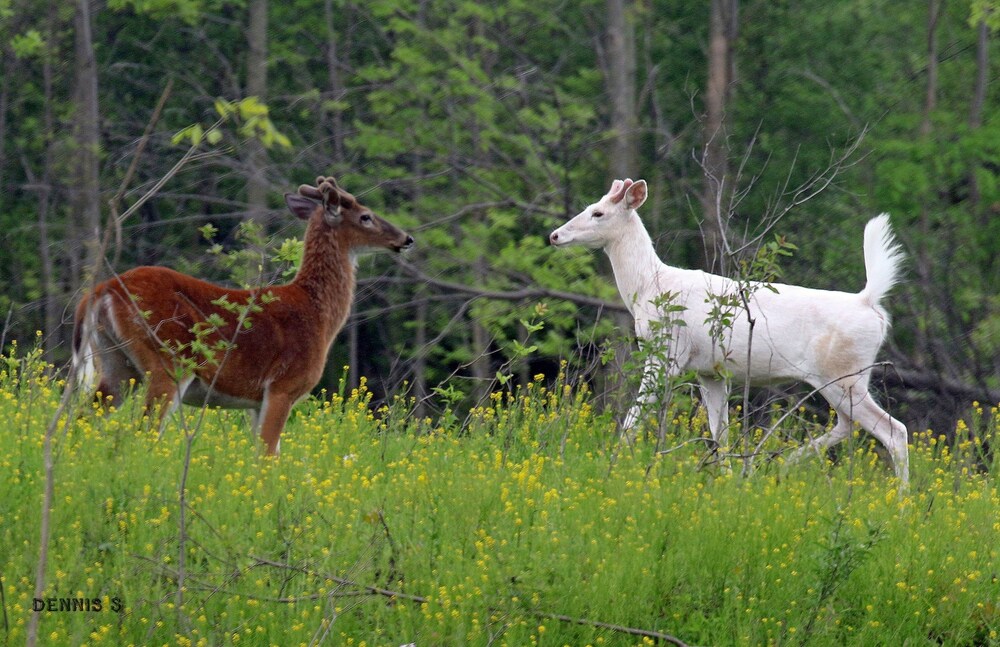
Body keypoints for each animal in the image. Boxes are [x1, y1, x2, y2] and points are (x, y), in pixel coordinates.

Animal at [72, 175, 412, 454]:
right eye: (366, 216)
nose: (406, 239)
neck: (317, 314)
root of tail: (101, 291)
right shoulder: (283, 385)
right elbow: (267, 455)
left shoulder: (256, 400)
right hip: (168, 359)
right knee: (144, 430)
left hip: (116, 362)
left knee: (81, 418)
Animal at [552, 180, 912, 484]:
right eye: (589, 206)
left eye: (598, 213)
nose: (555, 236)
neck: (649, 287)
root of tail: (870, 303)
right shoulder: (710, 371)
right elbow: (719, 432)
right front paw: (724, 480)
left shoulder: (668, 354)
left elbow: (633, 418)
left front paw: (611, 466)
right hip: (844, 379)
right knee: (850, 424)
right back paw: (782, 464)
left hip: (843, 374)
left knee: (894, 430)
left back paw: (902, 503)